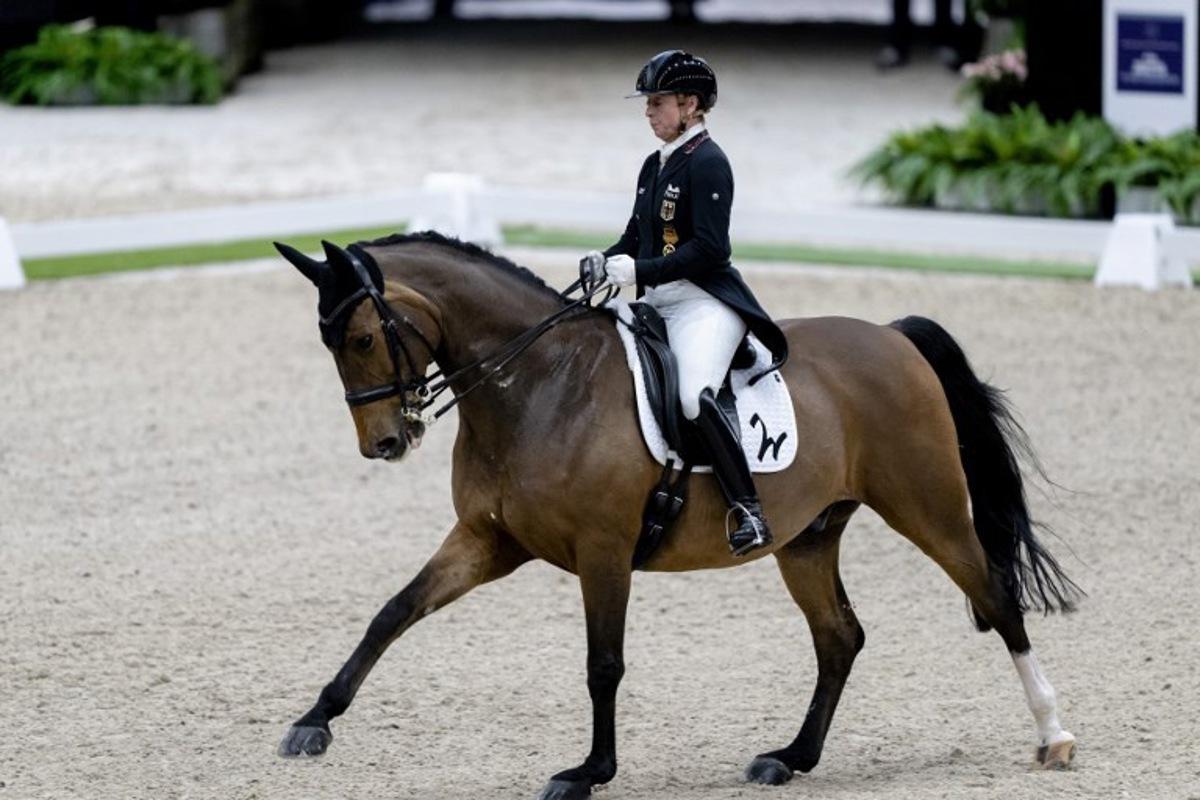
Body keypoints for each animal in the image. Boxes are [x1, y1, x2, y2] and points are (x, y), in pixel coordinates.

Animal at [272, 232, 1081, 800]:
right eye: (329, 342)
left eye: (363, 337)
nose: (384, 443)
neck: (538, 384)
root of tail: (892, 334)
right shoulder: (487, 540)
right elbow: (394, 611)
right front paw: (314, 723)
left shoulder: (602, 551)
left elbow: (603, 664)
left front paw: (588, 771)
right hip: (809, 537)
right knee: (839, 637)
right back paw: (790, 758)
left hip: (928, 506)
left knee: (995, 596)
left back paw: (1054, 735)